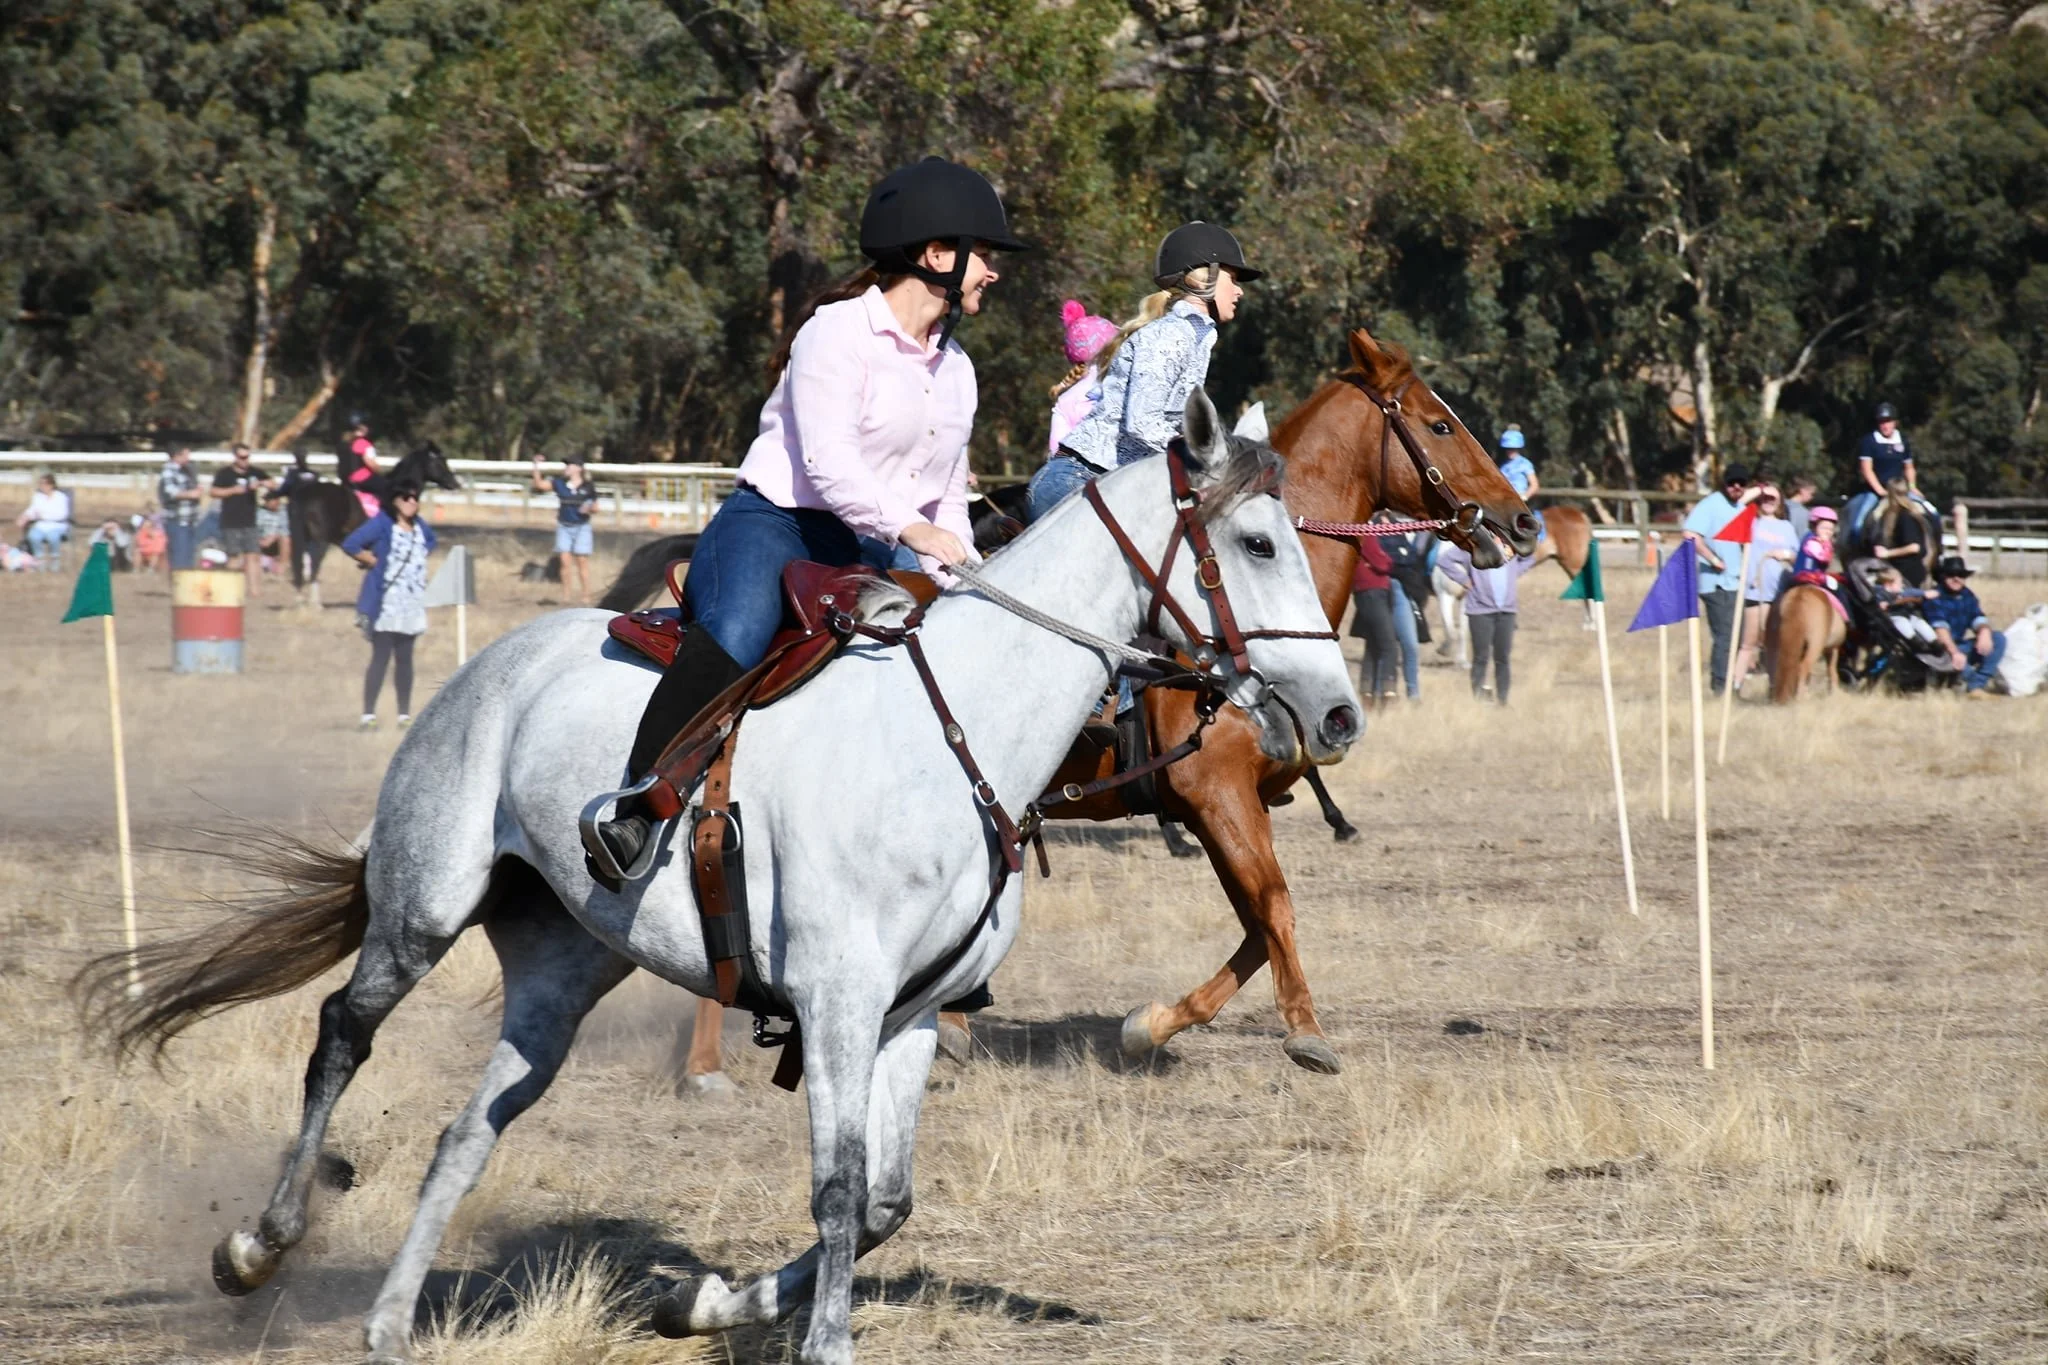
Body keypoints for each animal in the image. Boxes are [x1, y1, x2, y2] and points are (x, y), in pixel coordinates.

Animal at [288, 442, 462, 605]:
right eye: (439, 461)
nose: (455, 484)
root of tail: (305, 493)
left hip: (305, 538)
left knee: (302, 564)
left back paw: (299, 598)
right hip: (321, 540)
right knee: (314, 564)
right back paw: (315, 603)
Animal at [619, 328, 1535, 1087]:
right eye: (1440, 424)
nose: (1520, 520)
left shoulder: (1220, 805)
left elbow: (1254, 922)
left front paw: (1149, 1024)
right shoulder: (1213, 794)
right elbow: (1273, 906)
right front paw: (1304, 1032)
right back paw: (707, 1060)